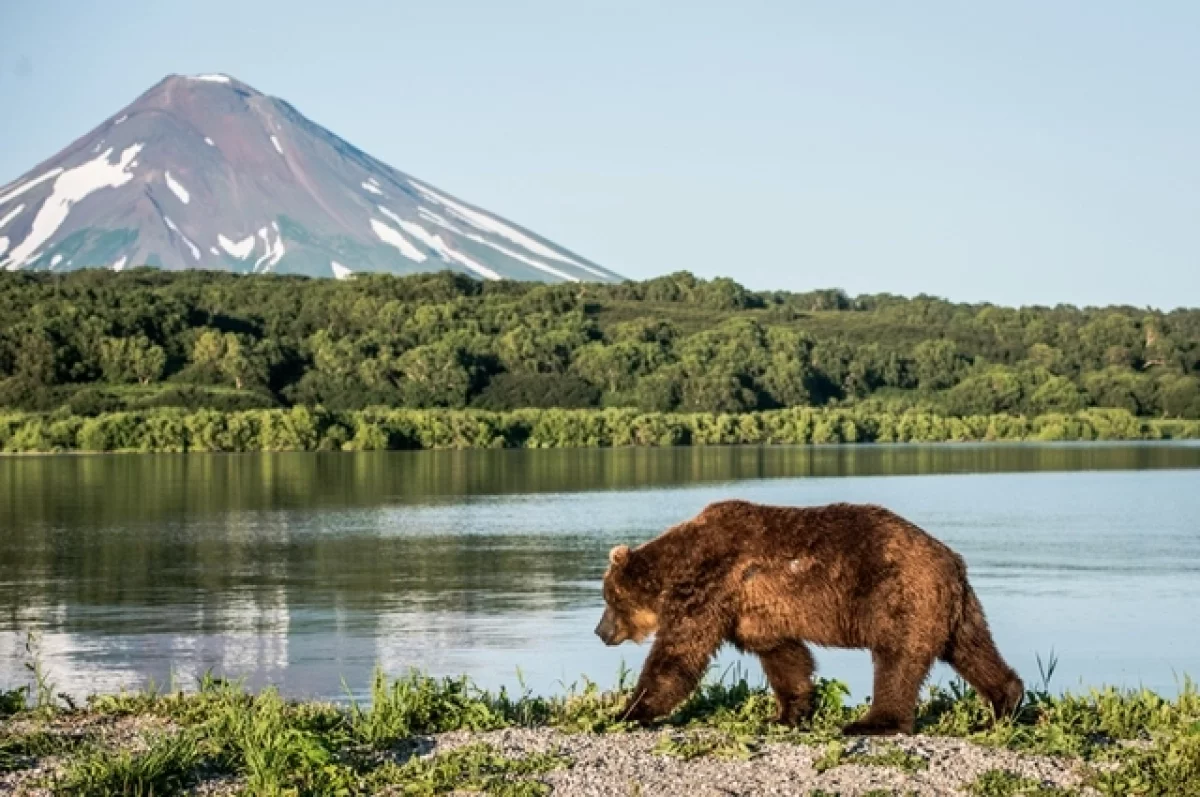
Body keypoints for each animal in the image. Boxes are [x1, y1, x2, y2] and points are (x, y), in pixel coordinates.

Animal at [590, 499, 1022, 734]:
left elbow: (677, 657)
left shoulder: (707, 586)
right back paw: (1005, 702)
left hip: (898, 594)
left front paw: (627, 710)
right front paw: (787, 713)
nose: (600, 631)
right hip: (953, 606)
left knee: (896, 661)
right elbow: (785, 657)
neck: (674, 564)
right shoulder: (755, 613)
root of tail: (952, 559)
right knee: (972, 648)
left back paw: (873, 723)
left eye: (608, 597)